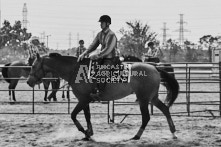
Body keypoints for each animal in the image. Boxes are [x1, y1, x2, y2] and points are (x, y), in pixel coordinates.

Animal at [27, 53, 180, 141]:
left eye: (33, 66)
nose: (29, 82)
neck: (75, 71)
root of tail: (154, 68)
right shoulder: (85, 100)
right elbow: (87, 116)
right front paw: (88, 133)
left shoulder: (83, 100)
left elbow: (73, 115)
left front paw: (84, 132)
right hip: (152, 98)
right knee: (165, 109)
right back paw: (173, 133)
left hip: (143, 99)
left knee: (146, 117)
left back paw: (136, 136)